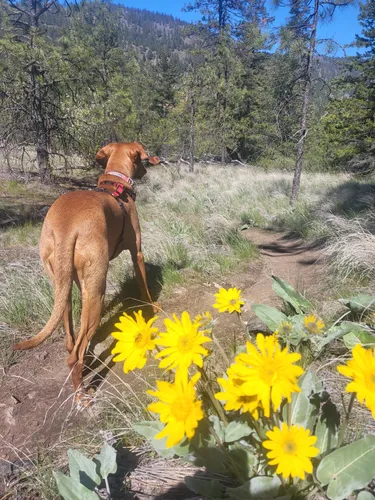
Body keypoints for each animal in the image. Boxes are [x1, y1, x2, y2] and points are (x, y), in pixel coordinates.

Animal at [14, 143, 160, 396]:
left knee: (70, 340)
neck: (115, 183)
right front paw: (152, 306)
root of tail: (66, 227)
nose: (145, 171)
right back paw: (83, 393)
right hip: (95, 292)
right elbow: (144, 286)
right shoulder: (137, 253)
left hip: (63, 285)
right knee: (76, 354)